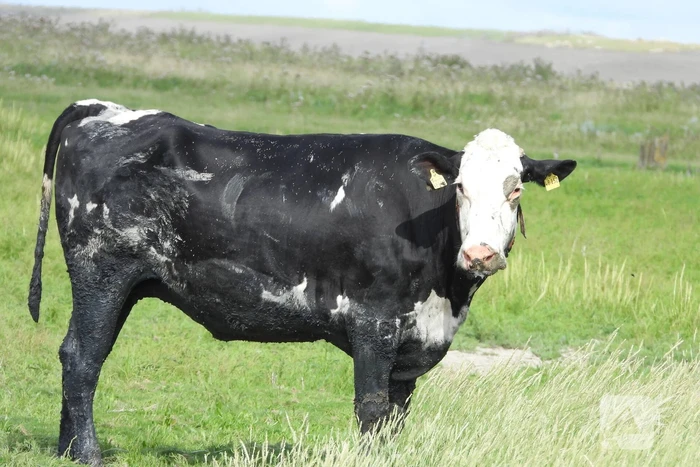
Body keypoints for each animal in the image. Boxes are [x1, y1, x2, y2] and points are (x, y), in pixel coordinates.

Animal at [29, 99, 576, 465]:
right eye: (460, 187)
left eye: (515, 189)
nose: (480, 253)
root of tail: (102, 109)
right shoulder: (374, 322)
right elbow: (372, 407)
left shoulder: (413, 338)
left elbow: (396, 414)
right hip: (102, 271)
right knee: (83, 356)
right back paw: (88, 453)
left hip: (121, 283)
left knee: (77, 351)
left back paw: (66, 450)